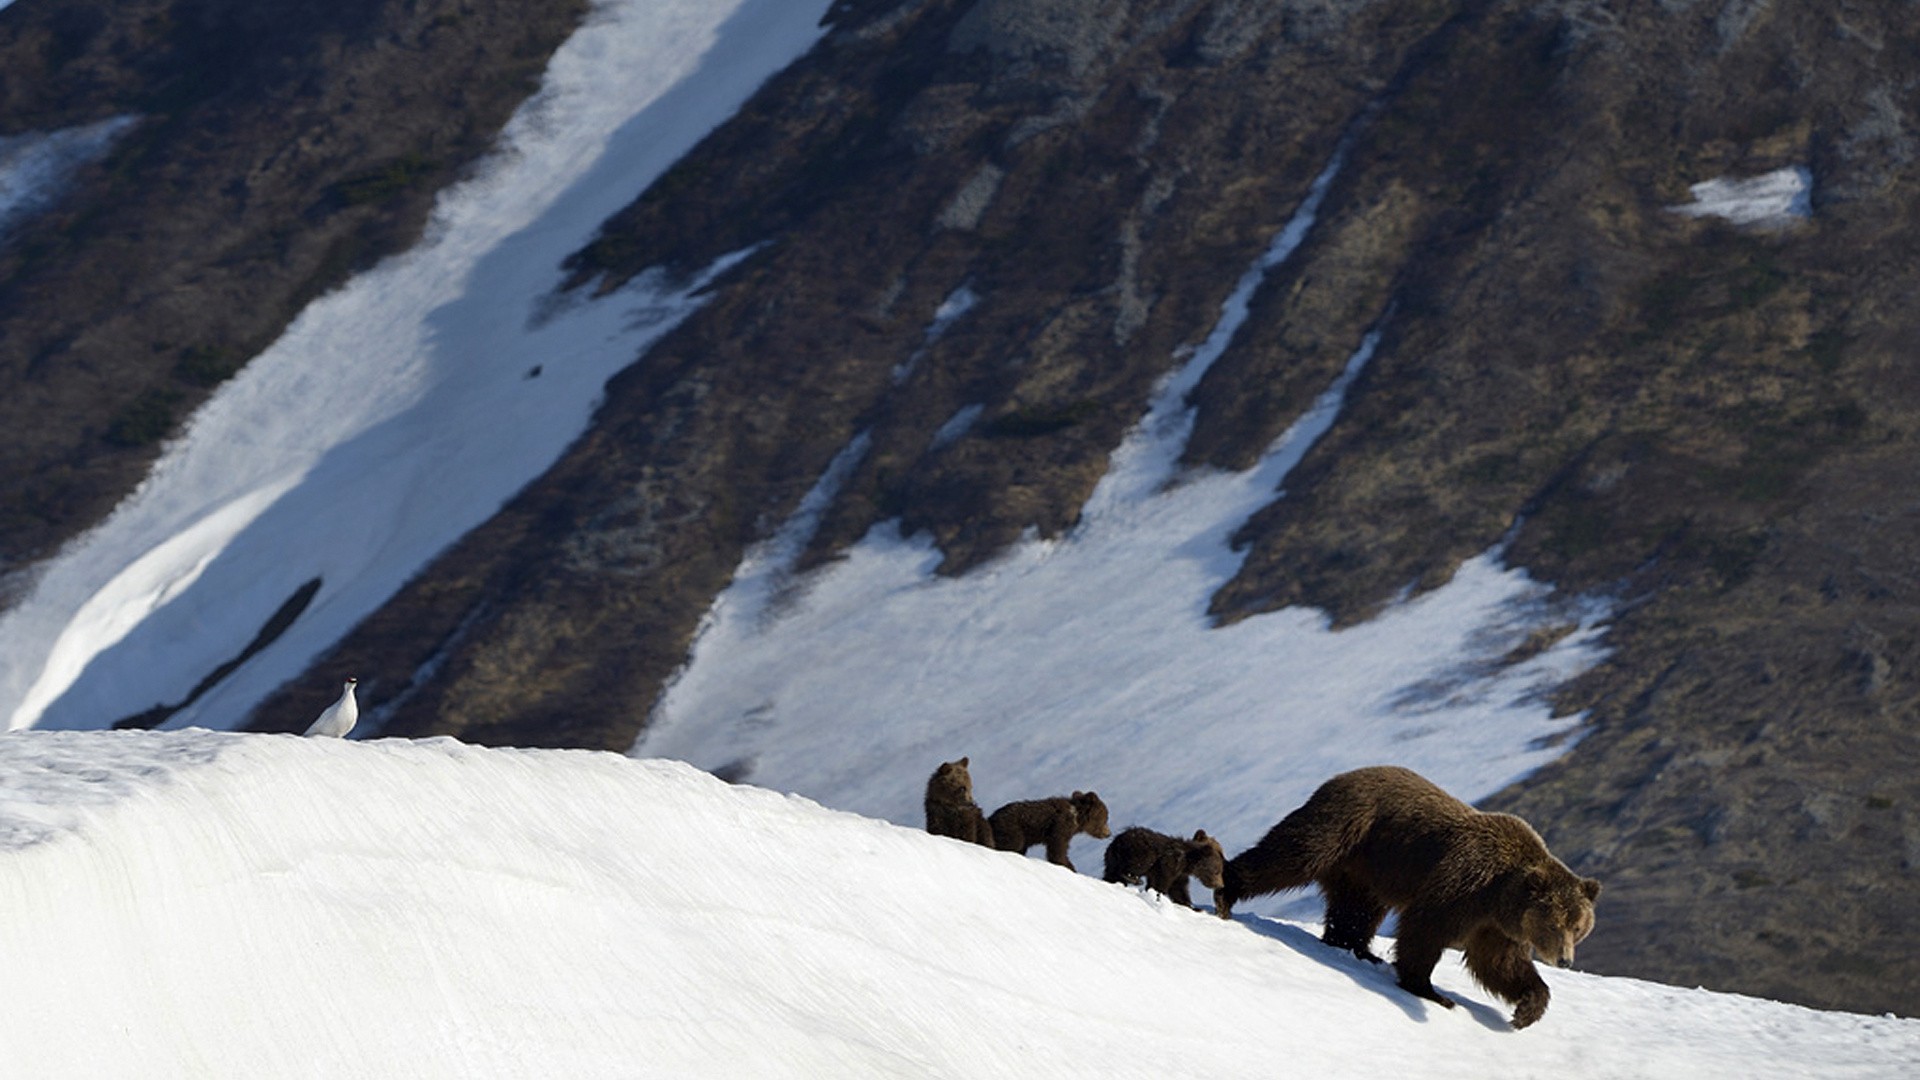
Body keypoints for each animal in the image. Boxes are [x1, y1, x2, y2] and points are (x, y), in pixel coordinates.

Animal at [1213, 760, 1605, 1022]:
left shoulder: (1495, 927)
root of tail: (1344, 774)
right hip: (1346, 827)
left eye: (1578, 927)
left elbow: (1498, 964)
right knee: (1291, 854)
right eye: (1554, 924)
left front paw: (1526, 1009)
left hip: (1366, 869)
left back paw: (1357, 949)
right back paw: (1224, 883)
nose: (1565, 960)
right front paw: (1430, 991)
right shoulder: (1463, 884)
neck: (1497, 896)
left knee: (1356, 910)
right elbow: (1426, 927)